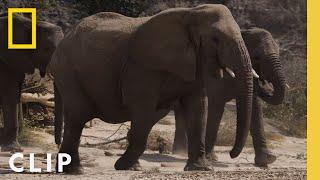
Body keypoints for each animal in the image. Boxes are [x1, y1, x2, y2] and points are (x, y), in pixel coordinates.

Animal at [50, 4, 255, 173]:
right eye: (215, 39)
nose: (231, 154)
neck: (191, 12)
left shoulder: (195, 62)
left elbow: (197, 108)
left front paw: (200, 169)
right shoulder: (141, 67)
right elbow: (142, 107)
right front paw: (122, 166)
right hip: (68, 71)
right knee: (78, 117)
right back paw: (76, 171)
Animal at [174, 27, 286, 167]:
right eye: (257, 57)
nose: (231, 154)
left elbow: (255, 109)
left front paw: (267, 160)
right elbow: (216, 107)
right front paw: (210, 158)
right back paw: (180, 151)